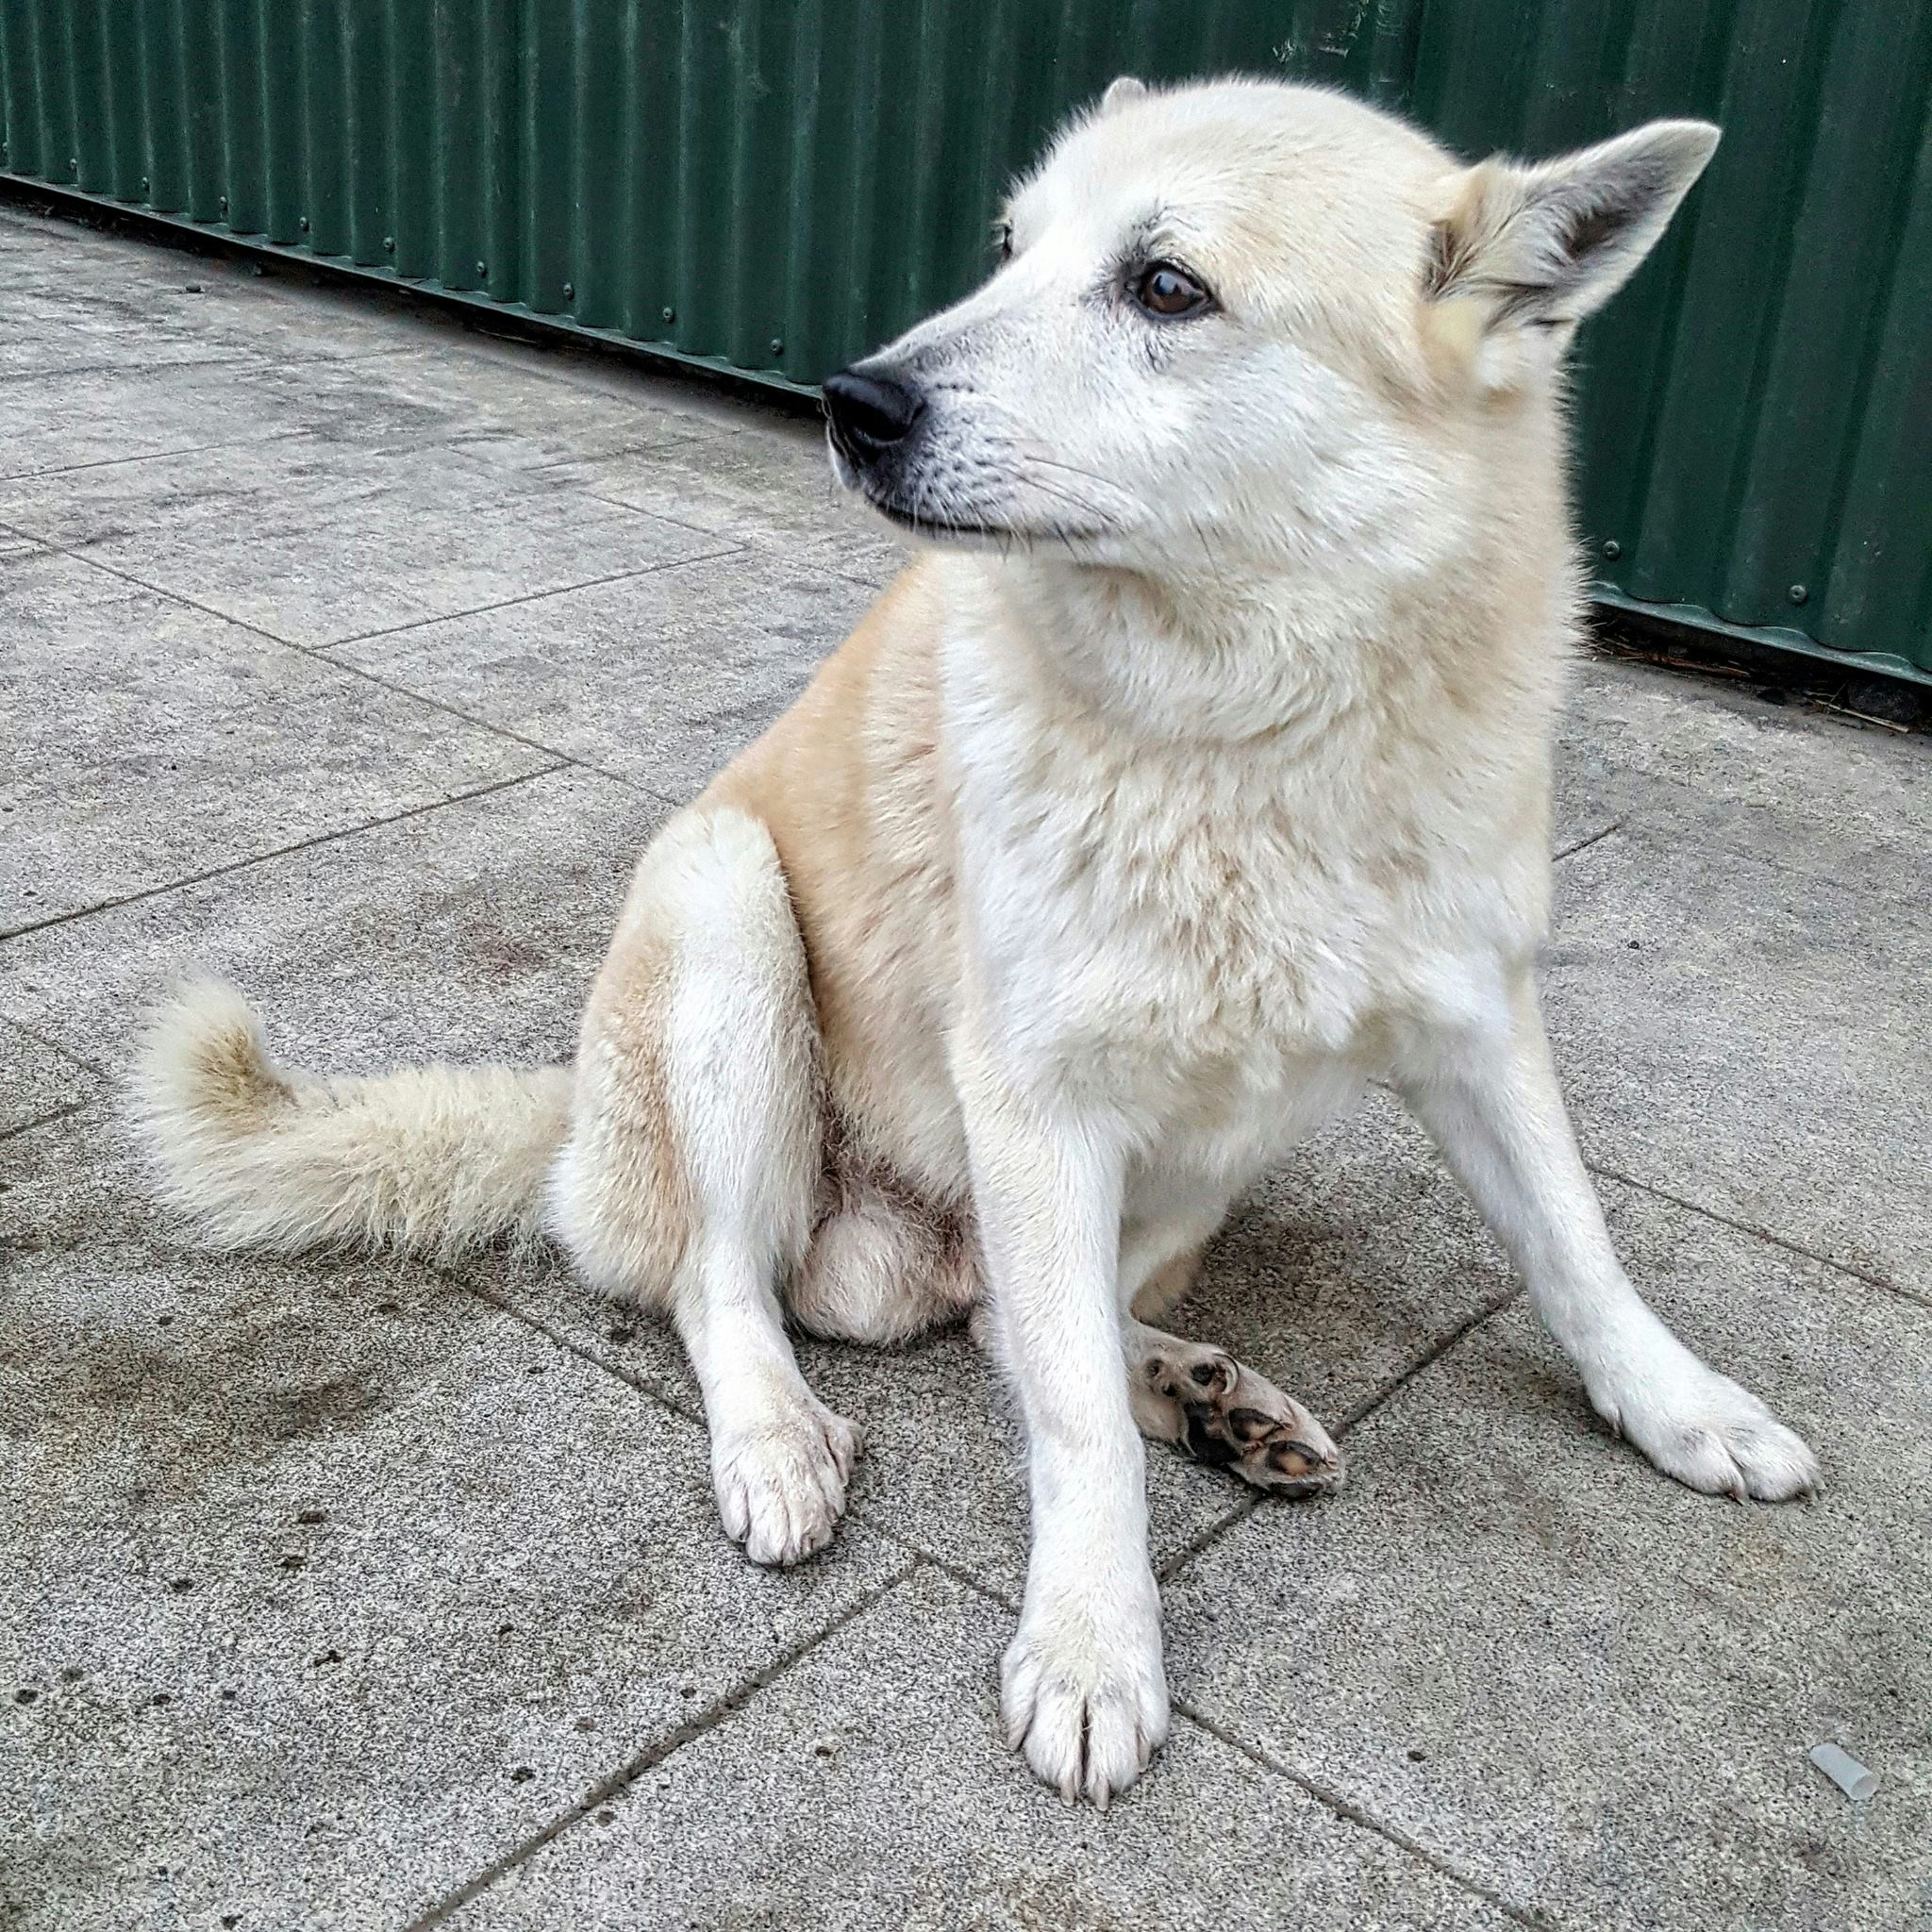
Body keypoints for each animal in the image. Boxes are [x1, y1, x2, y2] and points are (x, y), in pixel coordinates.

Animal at [132, 75, 1817, 1807]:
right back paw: (780, 1439)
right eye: (1010, 249)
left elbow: (1573, 1245)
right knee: (729, 1285)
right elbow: (1070, 1431)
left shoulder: (1476, 1019)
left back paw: (1208, 1397)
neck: (1252, 732)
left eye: (1165, 287)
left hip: (1197, 1159)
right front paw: (1091, 1646)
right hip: (731, 919)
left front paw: (1683, 1411)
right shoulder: (1037, 1099)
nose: (849, 400)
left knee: (1008, 1313)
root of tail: (578, 1118)